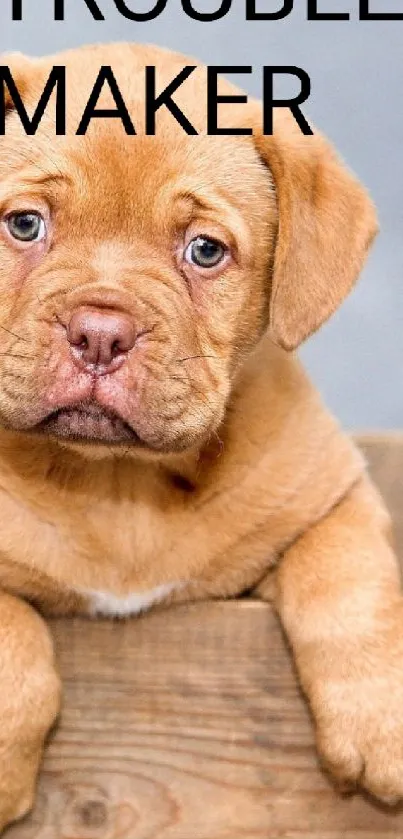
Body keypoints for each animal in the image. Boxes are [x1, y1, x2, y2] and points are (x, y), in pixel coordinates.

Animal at [0, 42, 400, 832]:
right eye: (24, 225)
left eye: (205, 250)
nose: (100, 333)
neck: (116, 482)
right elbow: (13, 637)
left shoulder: (330, 493)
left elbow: (350, 581)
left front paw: (383, 721)